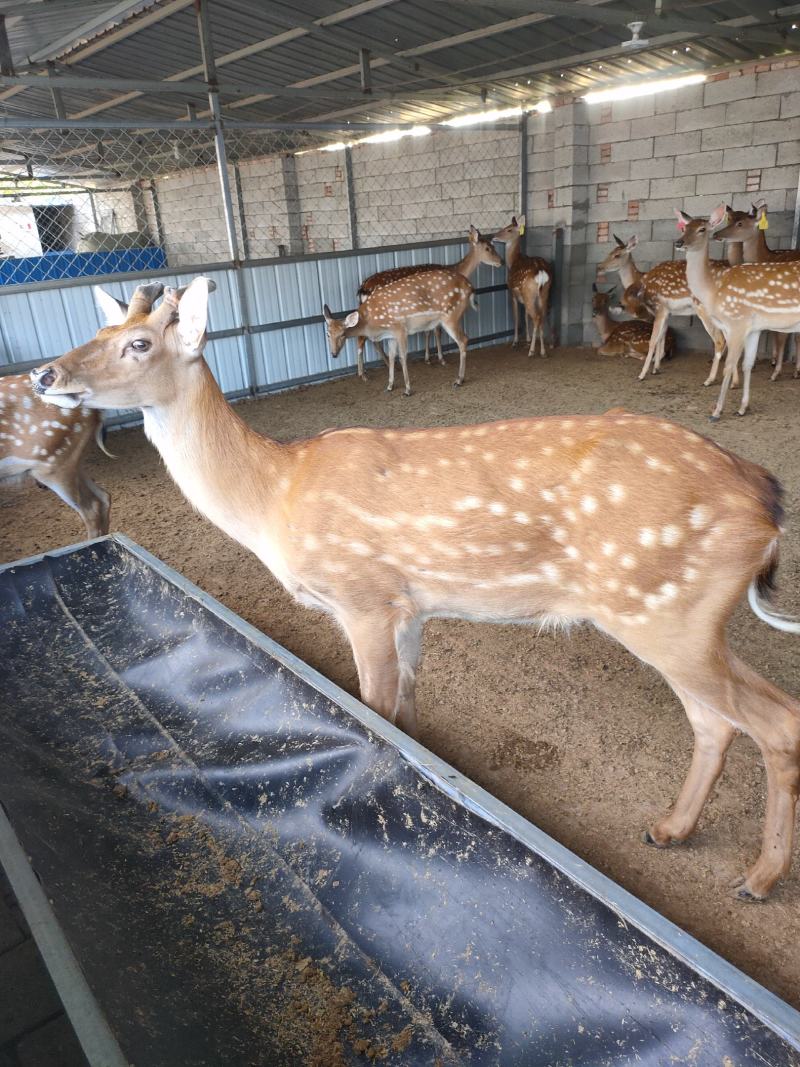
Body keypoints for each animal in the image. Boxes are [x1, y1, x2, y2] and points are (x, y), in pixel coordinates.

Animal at [323, 269, 475, 395]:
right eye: (327, 334)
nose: (334, 354)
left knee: (463, 340)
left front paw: (407, 389)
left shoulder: (400, 329)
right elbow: (391, 356)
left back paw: (458, 380)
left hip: (450, 316)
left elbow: (402, 357)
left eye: (342, 334)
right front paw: (389, 386)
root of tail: (470, 287)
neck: (373, 322)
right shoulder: (390, 334)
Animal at [354, 225, 501, 376]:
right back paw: (363, 374)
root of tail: (362, 288)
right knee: (363, 338)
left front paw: (428, 359)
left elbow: (428, 331)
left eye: (493, 245)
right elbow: (435, 331)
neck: (456, 269)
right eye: (488, 248)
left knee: (370, 338)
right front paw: (440, 359)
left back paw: (385, 365)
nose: (501, 262)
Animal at [492, 215, 553, 359]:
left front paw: (515, 342)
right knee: (542, 315)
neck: (513, 261)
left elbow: (516, 317)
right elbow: (525, 315)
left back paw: (532, 351)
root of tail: (541, 272)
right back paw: (543, 351)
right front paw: (528, 339)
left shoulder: (512, 293)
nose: (493, 236)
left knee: (536, 317)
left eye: (508, 229)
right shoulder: (524, 297)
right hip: (543, 293)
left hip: (529, 293)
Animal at [597, 232, 732, 386]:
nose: (600, 267)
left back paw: (709, 379)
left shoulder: (652, 313)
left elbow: (654, 338)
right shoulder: (667, 312)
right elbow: (662, 335)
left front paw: (646, 370)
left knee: (721, 339)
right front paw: (656, 368)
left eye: (617, 255)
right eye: (609, 252)